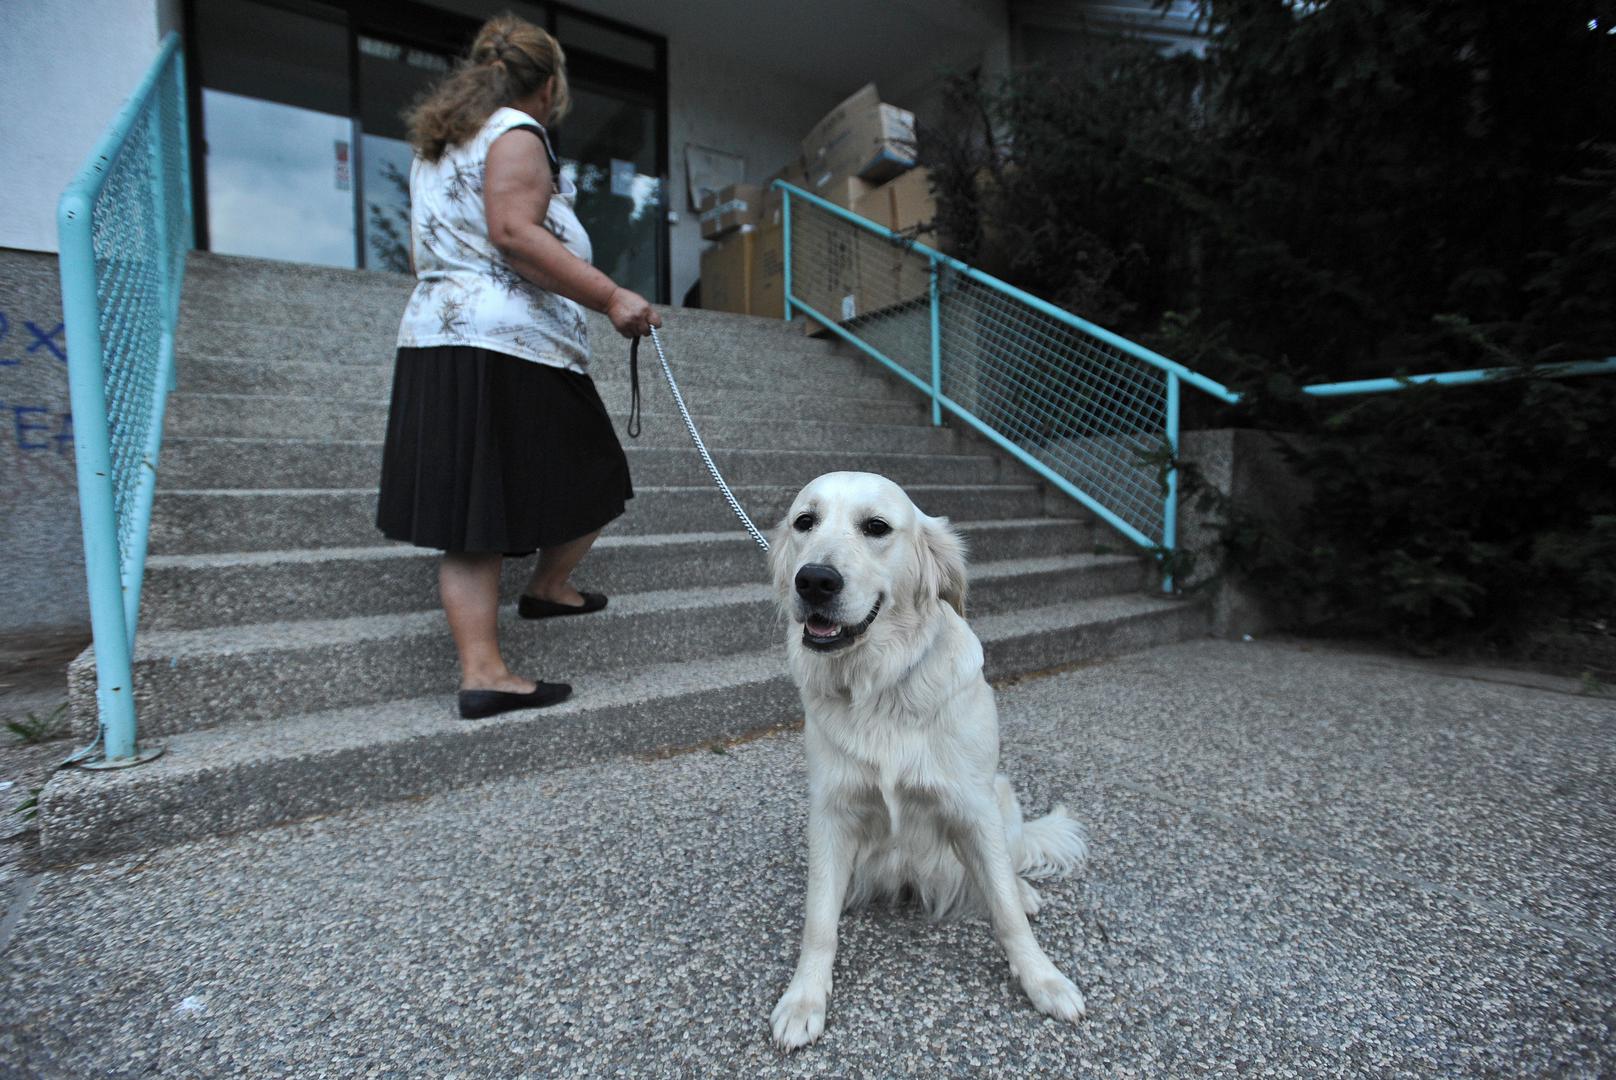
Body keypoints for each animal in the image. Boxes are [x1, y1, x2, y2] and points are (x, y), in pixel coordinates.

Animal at [766, 471, 1090, 1049]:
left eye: (876, 527)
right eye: (805, 521)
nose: (814, 581)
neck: (878, 684)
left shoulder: (974, 808)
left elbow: (1006, 912)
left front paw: (1043, 980)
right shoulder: (831, 811)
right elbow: (818, 922)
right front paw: (804, 998)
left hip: (1002, 796)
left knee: (1009, 869)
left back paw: (1025, 889)